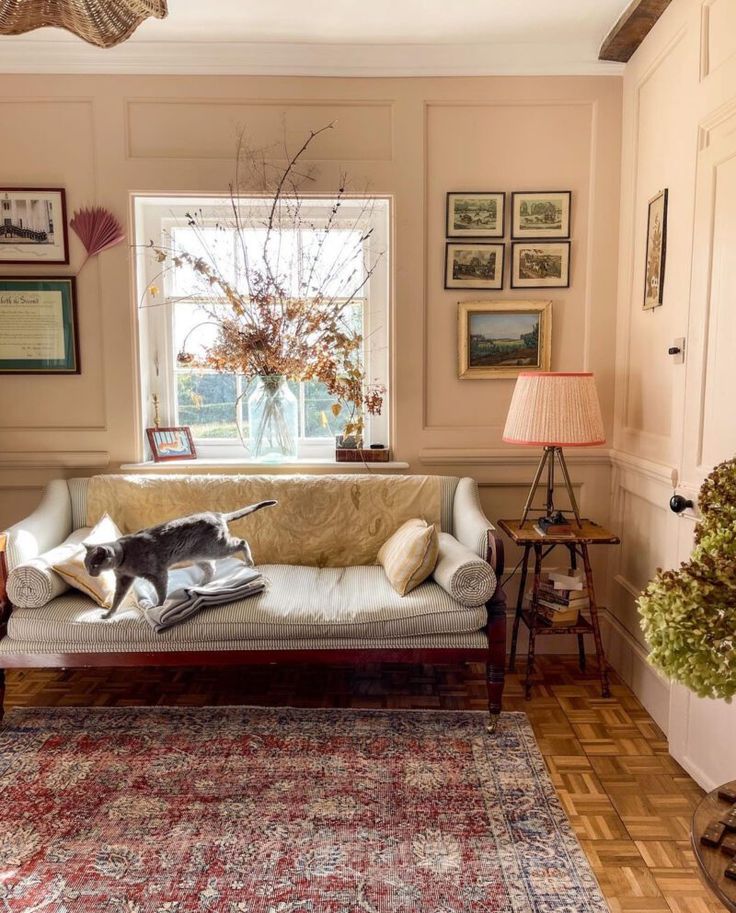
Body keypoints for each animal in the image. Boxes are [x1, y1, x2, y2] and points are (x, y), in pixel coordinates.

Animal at [81, 498, 276, 620]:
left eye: (94, 564)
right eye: (86, 565)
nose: (90, 573)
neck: (124, 557)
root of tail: (218, 514)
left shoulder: (158, 573)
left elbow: (161, 592)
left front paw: (158, 605)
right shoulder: (124, 580)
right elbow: (117, 600)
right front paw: (108, 615)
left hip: (216, 548)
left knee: (242, 542)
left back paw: (249, 561)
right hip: (200, 555)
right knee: (211, 569)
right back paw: (199, 586)